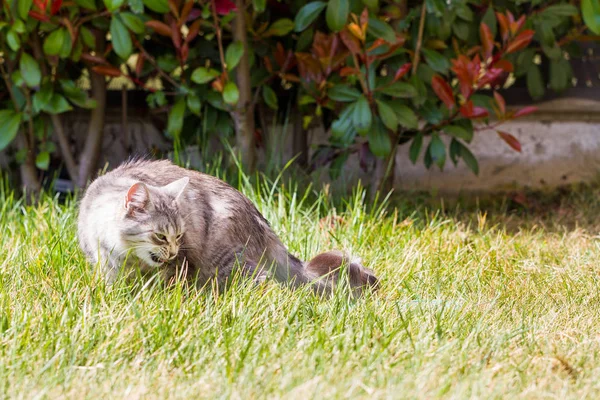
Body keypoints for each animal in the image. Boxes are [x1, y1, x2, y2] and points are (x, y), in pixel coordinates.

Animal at [77, 159, 378, 294]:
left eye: (178, 235)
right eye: (161, 237)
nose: (173, 251)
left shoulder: (181, 262)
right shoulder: (104, 262)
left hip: (227, 262)